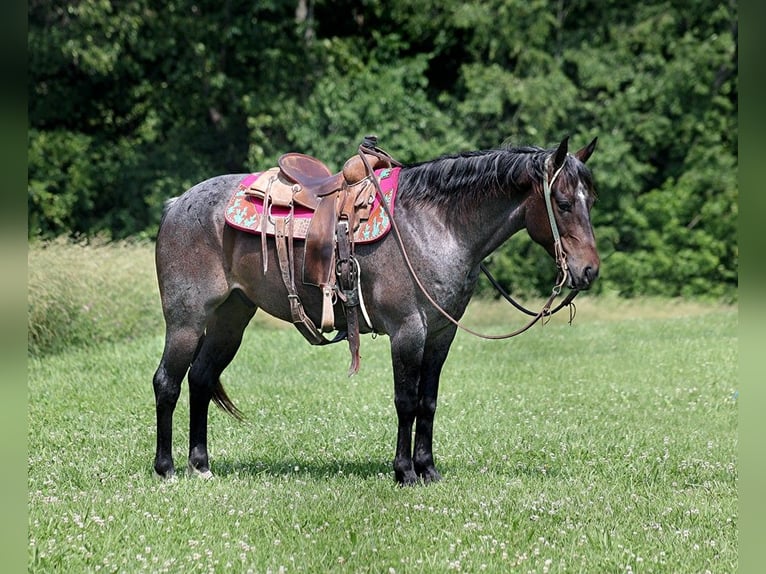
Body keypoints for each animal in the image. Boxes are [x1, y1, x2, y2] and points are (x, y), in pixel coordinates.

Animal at [153, 135, 604, 486]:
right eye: (563, 202)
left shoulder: (441, 334)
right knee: (167, 382)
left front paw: (428, 470)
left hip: (231, 318)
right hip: (186, 321)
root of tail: (176, 204)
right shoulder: (408, 331)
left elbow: (428, 402)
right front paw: (404, 472)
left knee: (201, 378)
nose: (589, 270)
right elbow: (406, 401)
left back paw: (201, 465)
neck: (432, 226)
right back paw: (166, 468)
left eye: (591, 201)